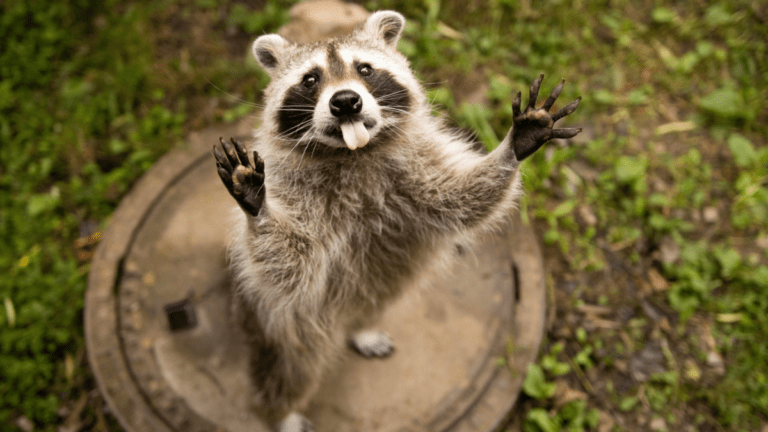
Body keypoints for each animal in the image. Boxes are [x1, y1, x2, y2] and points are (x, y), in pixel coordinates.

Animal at [212, 10, 581, 432]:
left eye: (365, 69)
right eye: (310, 80)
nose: (346, 102)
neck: (353, 153)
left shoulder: (419, 169)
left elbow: (463, 198)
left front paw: (515, 144)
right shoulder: (292, 193)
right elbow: (288, 265)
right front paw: (257, 208)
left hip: (383, 280)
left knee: (376, 297)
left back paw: (362, 326)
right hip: (280, 323)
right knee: (287, 369)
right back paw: (282, 413)